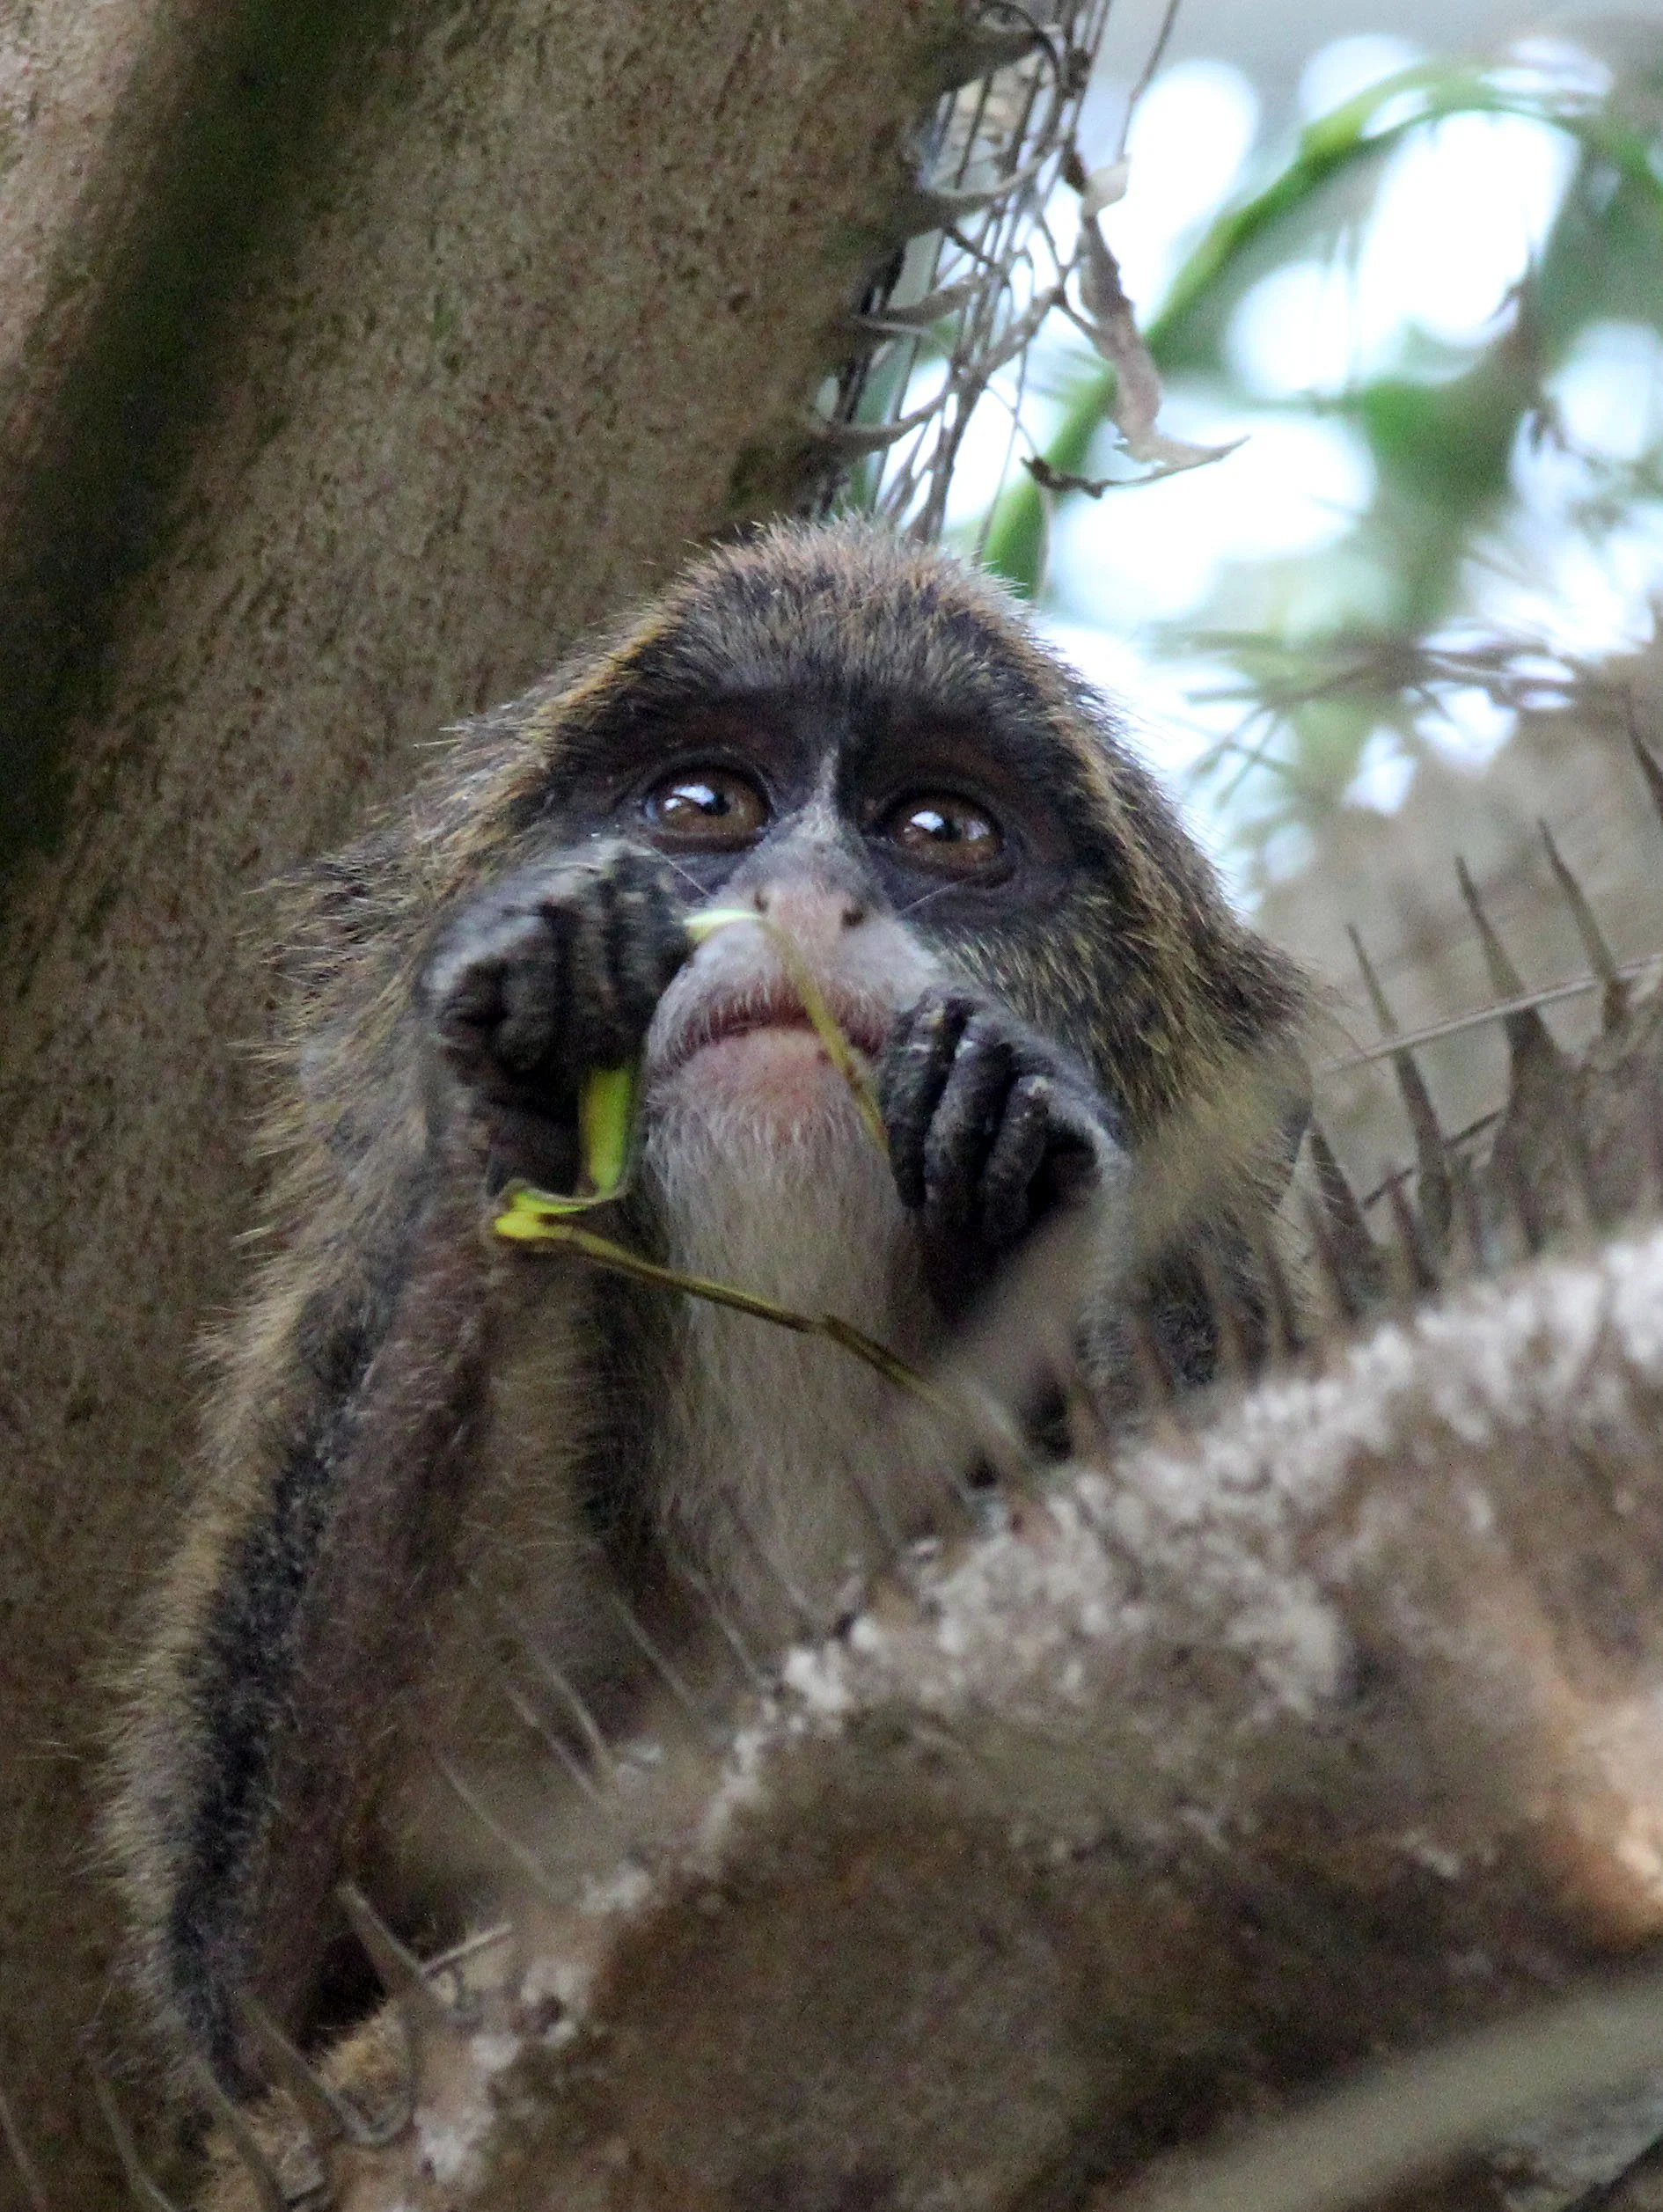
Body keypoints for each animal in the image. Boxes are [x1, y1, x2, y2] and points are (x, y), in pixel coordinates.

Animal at [108, 519, 1309, 2104]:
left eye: (939, 829)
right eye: (702, 803)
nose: (804, 888)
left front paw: (1016, 1162)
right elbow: (276, 1986)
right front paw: (522, 1053)